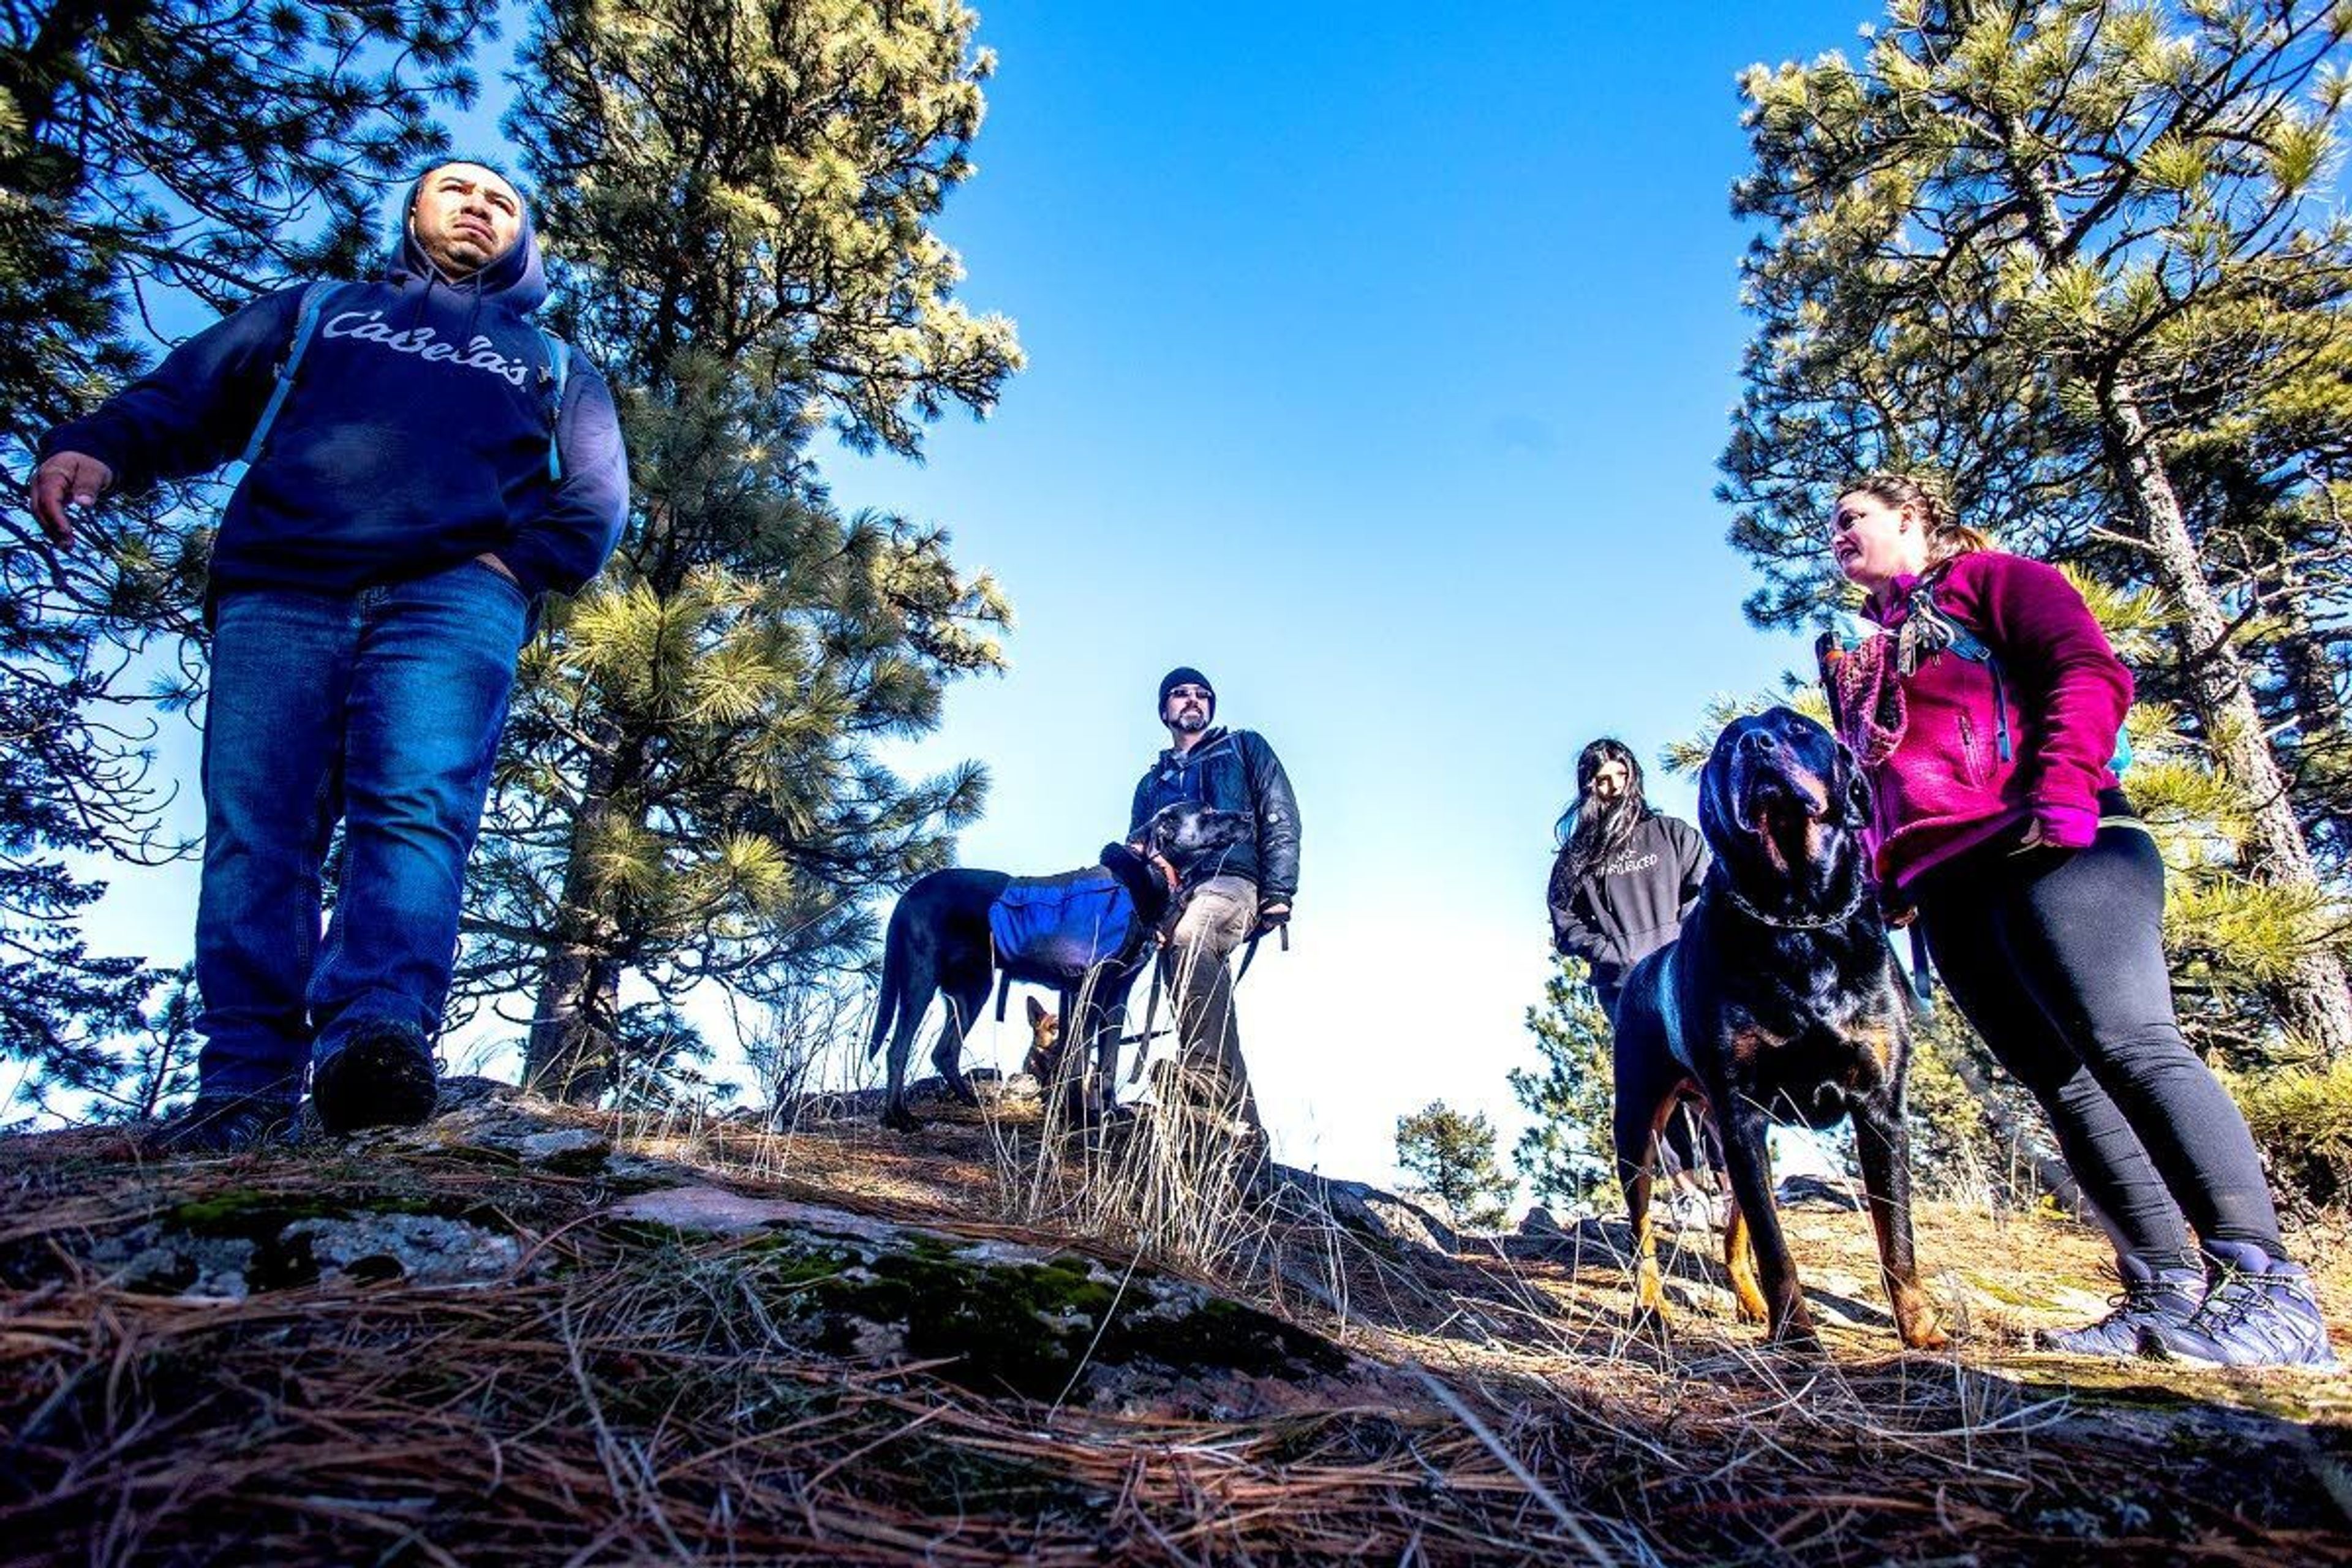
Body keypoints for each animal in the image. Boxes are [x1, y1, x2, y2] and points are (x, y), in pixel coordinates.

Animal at [875, 809, 1261, 1128]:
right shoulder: (1087, 989)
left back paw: (970, 1101)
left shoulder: (1117, 992)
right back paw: (898, 1115)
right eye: (1207, 812)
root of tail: (908, 895)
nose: (1247, 816)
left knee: (944, 1051)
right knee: (898, 1048)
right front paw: (1079, 1115)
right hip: (920, 980)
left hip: (973, 989)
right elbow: (1078, 1058)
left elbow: (1107, 1061)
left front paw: (1109, 1111)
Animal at [1608, 710, 1938, 1354]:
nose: (1756, 745)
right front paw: (1799, 1338)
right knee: (1645, 1235)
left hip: (1720, 1140)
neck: (1797, 917)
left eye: (1797, 728)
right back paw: (1653, 1309)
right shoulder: (1743, 1113)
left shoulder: (1881, 1108)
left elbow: (1898, 1235)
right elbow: (1776, 1248)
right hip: (1640, 1126)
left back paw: (1751, 1303)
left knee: (1734, 1233)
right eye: (1724, 746)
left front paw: (1921, 1331)